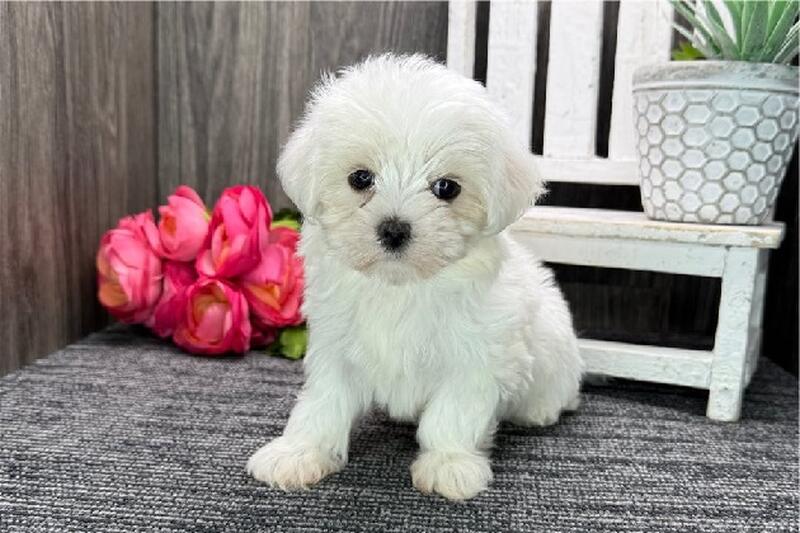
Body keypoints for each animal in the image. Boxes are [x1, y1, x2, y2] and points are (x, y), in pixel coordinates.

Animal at [246, 54, 583, 501]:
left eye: (447, 187)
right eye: (360, 178)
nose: (393, 229)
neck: (401, 287)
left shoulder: (477, 356)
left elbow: (452, 414)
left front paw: (449, 464)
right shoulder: (335, 346)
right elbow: (322, 403)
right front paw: (299, 452)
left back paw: (541, 410)